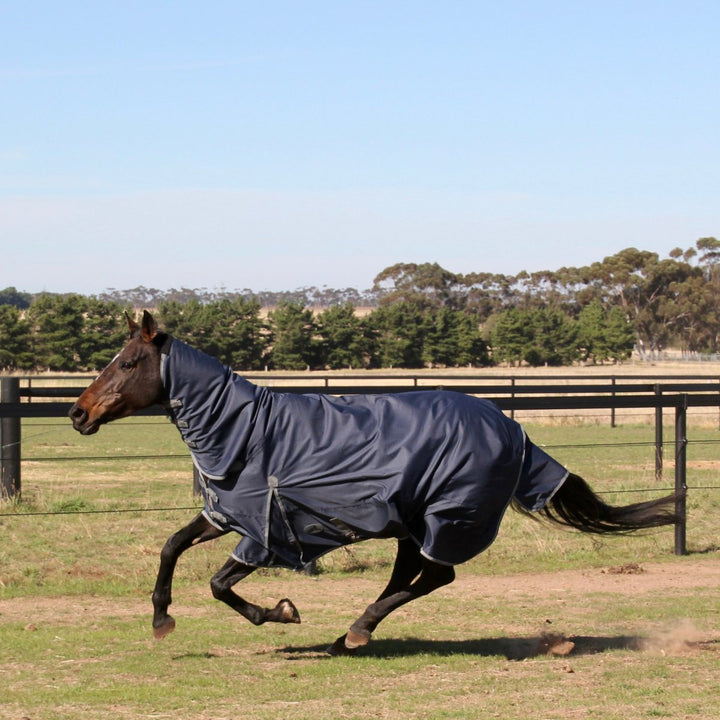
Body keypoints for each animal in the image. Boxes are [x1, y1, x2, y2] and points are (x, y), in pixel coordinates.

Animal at [70, 312, 684, 656]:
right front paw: (161, 619)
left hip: (444, 516)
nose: (78, 413)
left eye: (127, 363)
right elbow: (171, 547)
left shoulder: (262, 532)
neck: (245, 430)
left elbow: (221, 585)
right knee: (414, 575)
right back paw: (350, 636)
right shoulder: (228, 514)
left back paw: (358, 631)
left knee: (436, 574)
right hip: (412, 521)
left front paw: (281, 612)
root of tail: (515, 429)